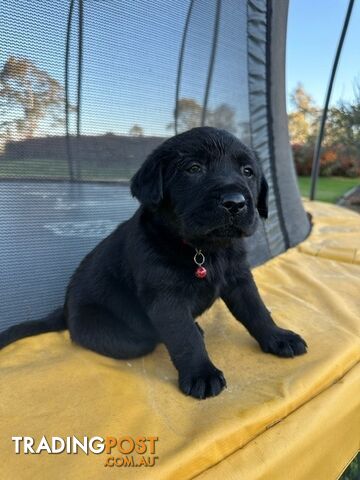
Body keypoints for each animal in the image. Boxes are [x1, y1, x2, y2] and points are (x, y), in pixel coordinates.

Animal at [0, 126, 306, 398]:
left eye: (248, 171)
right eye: (193, 169)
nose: (235, 202)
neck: (204, 250)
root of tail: (62, 311)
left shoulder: (239, 279)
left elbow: (257, 311)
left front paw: (279, 337)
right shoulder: (166, 298)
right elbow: (184, 336)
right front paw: (201, 374)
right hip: (121, 336)